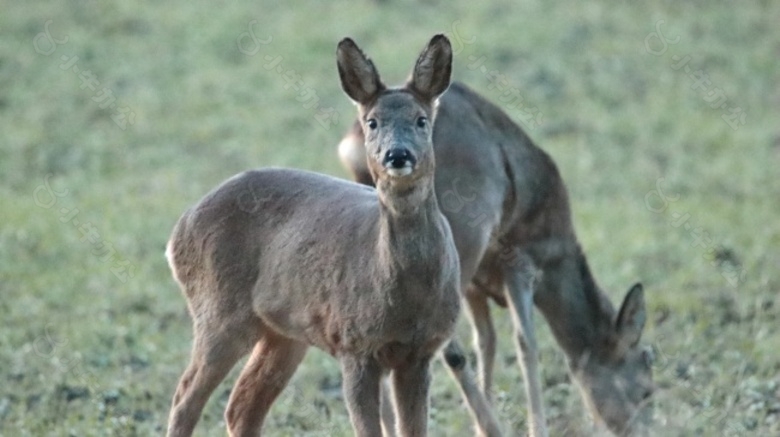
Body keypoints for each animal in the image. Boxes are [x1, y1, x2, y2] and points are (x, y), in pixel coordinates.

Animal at [165, 35, 466, 436]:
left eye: (421, 120)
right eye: (372, 122)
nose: (397, 154)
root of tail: (177, 233)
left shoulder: (420, 352)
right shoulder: (354, 345)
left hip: (283, 332)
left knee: (241, 405)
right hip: (218, 310)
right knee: (185, 398)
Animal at [338, 78, 656, 432]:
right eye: (646, 391)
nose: (646, 432)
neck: (557, 256)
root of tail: (354, 145)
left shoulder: (479, 285)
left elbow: (486, 342)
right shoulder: (519, 261)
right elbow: (525, 342)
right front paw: (535, 428)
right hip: (463, 234)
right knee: (443, 347)